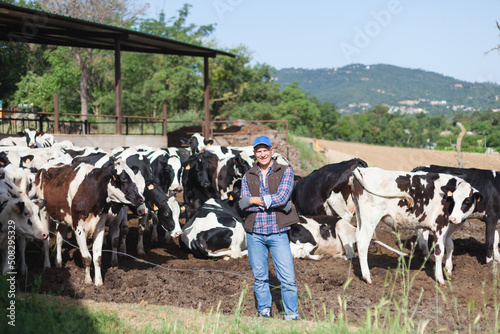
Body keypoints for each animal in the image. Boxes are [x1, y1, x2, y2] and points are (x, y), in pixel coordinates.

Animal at [350, 167, 482, 284]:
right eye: (453, 199)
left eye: (467, 201)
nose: (453, 218)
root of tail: (362, 170)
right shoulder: (439, 226)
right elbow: (439, 251)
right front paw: (440, 278)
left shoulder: (448, 229)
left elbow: (450, 246)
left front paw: (448, 270)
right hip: (370, 219)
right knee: (363, 242)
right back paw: (367, 277)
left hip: (360, 217)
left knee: (357, 237)